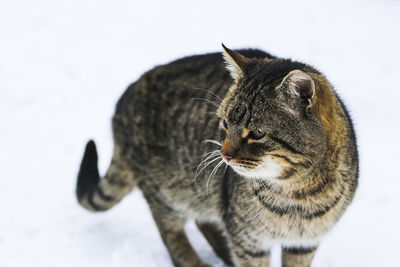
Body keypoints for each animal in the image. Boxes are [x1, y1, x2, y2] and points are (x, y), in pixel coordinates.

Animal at [76, 44, 360, 267]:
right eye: (224, 123)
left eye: (256, 133)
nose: (225, 154)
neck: (299, 195)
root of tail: (124, 98)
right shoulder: (248, 241)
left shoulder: (304, 243)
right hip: (165, 194)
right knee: (171, 233)